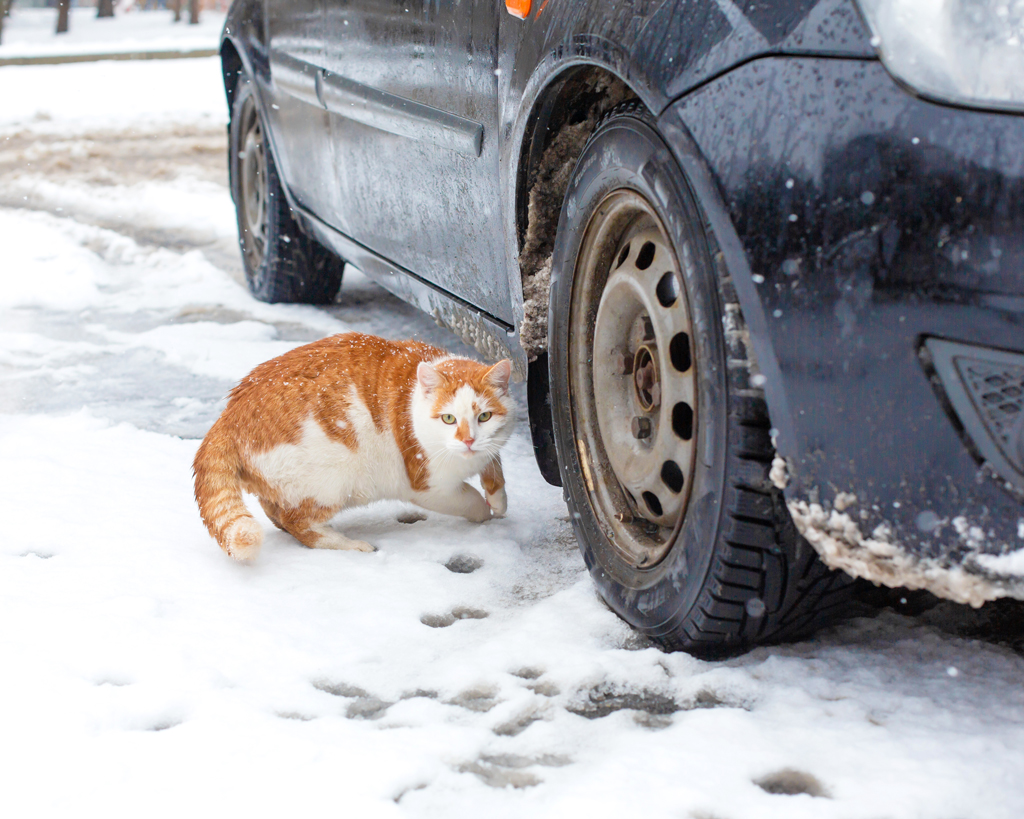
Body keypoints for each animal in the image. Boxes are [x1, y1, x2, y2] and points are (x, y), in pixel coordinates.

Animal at [192, 331, 512, 556]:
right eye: (448, 418)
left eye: (484, 416)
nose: (468, 440)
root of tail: (228, 416)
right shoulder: (427, 486)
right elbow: (470, 499)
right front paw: (485, 512)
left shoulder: (490, 447)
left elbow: (494, 466)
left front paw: (497, 497)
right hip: (329, 481)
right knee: (300, 524)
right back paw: (351, 545)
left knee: (276, 512)